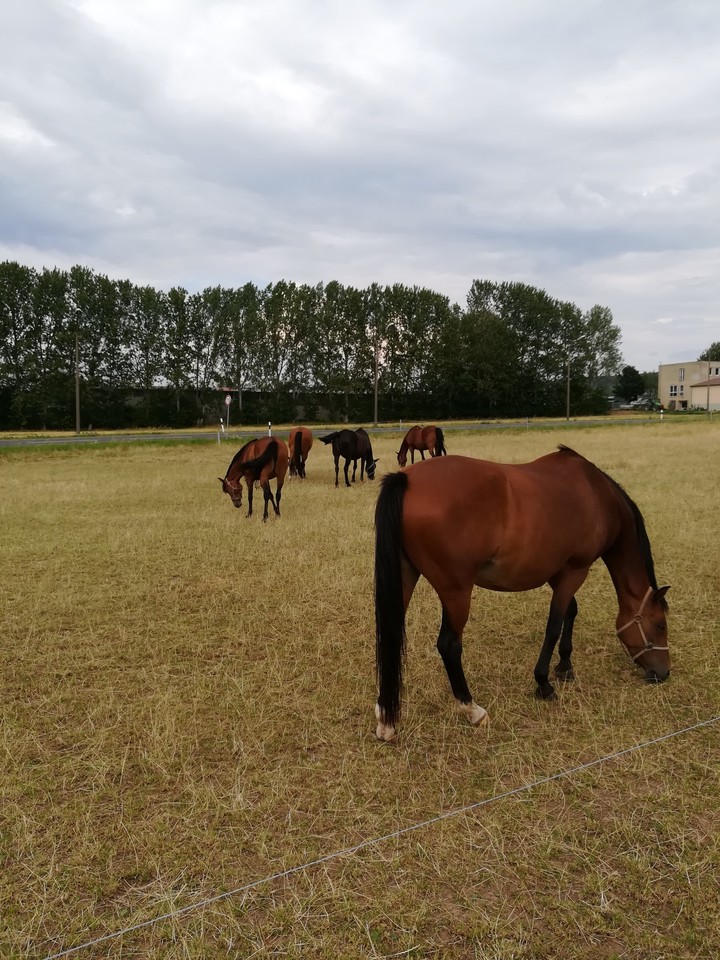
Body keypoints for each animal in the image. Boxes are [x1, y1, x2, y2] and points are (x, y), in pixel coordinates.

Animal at [373, 446, 670, 741]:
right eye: (660, 625)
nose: (663, 672)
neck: (598, 496)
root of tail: (406, 479)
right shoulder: (576, 570)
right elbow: (554, 626)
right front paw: (544, 683)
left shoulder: (558, 573)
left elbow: (571, 612)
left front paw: (565, 666)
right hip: (456, 591)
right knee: (449, 645)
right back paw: (472, 710)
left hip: (405, 577)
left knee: (390, 636)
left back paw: (386, 717)